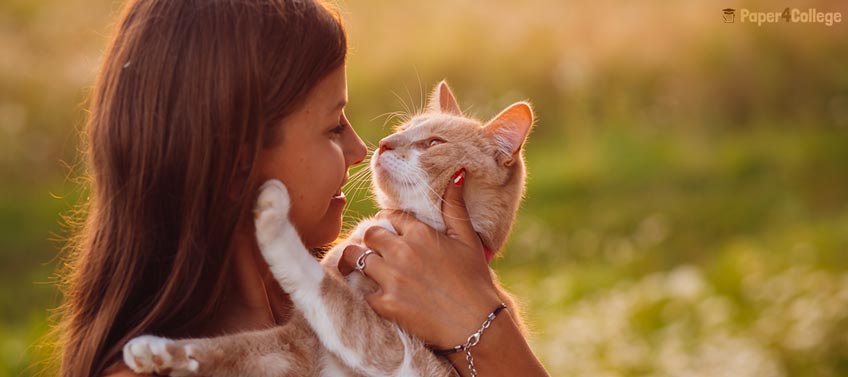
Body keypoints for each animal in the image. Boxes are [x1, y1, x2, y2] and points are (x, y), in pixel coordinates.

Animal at [122, 81, 532, 374]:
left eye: (433, 142)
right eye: (402, 128)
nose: (385, 143)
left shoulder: (402, 355)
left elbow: (320, 284)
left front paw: (272, 208)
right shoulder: (294, 348)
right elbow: (232, 348)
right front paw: (158, 349)